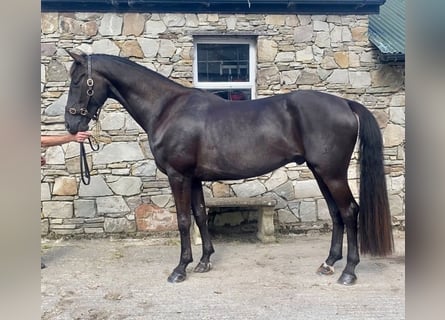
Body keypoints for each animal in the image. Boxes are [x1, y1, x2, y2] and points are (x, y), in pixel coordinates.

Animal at [63, 52, 392, 284]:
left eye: (78, 81)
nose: (71, 124)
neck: (167, 108)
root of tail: (346, 104)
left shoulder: (178, 176)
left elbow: (183, 220)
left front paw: (180, 269)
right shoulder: (193, 178)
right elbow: (199, 216)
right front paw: (204, 261)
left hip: (332, 173)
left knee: (349, 211)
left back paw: (348, 272)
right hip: (321, 172)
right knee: (337, 213)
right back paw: (328, 263)